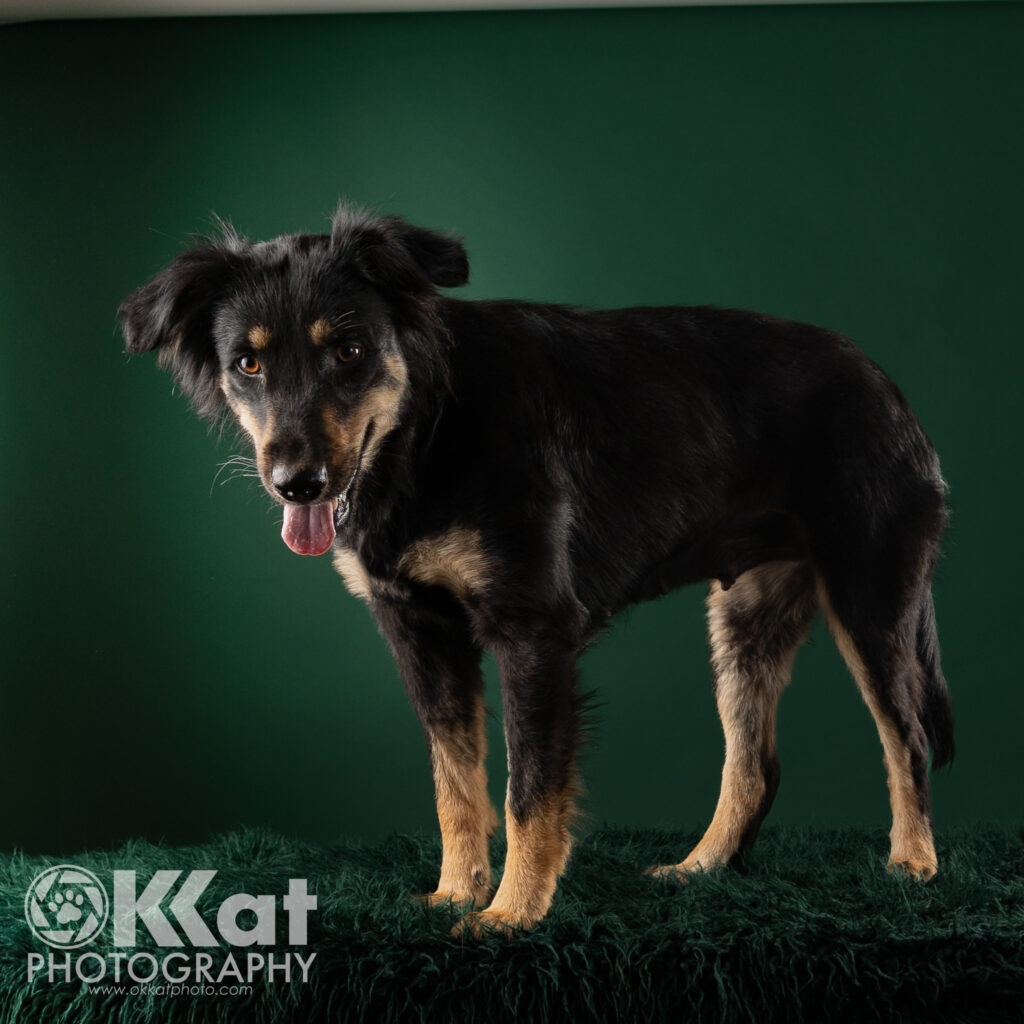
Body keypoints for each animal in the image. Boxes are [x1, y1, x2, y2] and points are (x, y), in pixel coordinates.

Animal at [119, 205, 950, 937]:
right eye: (248, 363)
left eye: (349, 352)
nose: (298, 484)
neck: (428, 429)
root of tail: (885, 384)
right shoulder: (421, 632)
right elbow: (455, 782)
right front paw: (456, 894)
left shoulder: (533, 633)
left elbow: (527, 791)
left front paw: (512, 914)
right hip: (746, 621)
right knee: (755, 765)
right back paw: (701, 869)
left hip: (871, 598)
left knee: (906, 739)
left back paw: (914, 868)